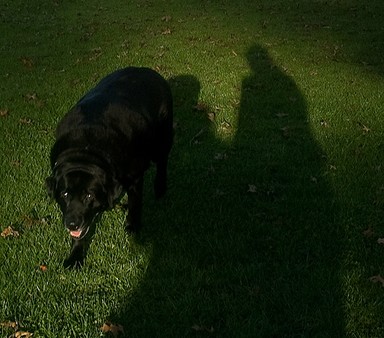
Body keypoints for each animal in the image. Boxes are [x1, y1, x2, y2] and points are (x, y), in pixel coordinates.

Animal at [45, 67, 173, 268]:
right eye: (64, 194)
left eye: (89, 196)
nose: (71, 224)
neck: (85, 149)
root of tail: (147, 70)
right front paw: (75, 256)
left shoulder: (135, 177)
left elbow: (136, 202)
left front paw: (132, 225)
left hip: (161, 140)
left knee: (162, 162)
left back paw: (160, 188)